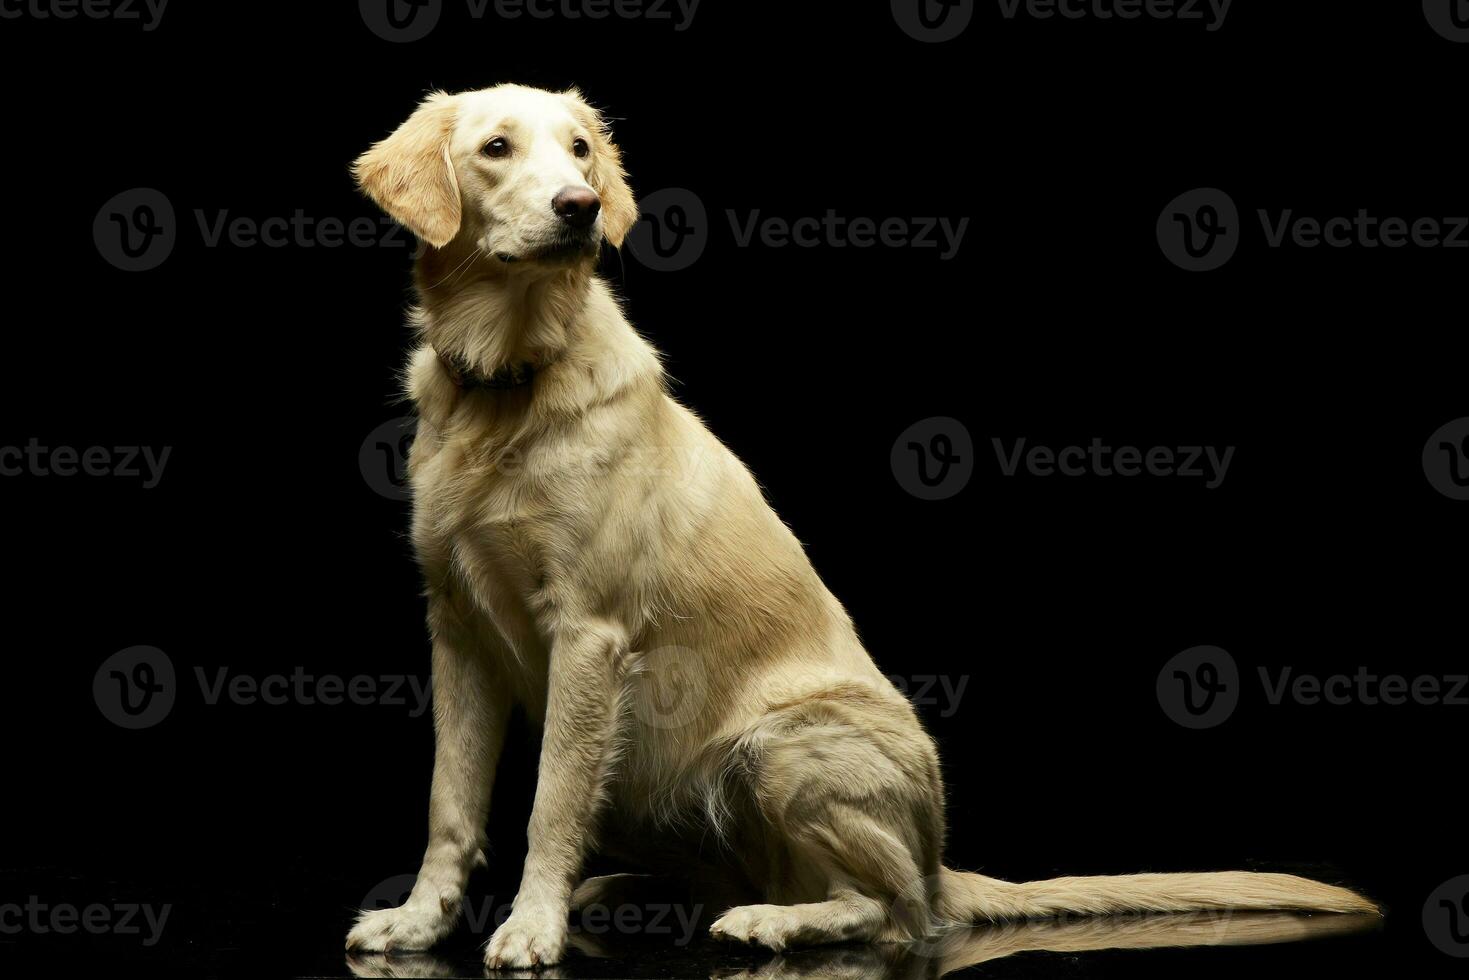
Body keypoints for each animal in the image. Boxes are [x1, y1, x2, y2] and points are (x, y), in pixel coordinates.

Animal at [343, 86, 1374, 975]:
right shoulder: (457, 629)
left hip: (780, 745)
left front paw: (531, 925)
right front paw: (421, 920)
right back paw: (636, 895)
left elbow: (549, 802)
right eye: (495, 148)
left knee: (895, 913)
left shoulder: (589, 640)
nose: (580, 206)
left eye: (581, 150)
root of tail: (940, 856)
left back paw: (774, 920)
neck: (508, 379)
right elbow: (450, 803)